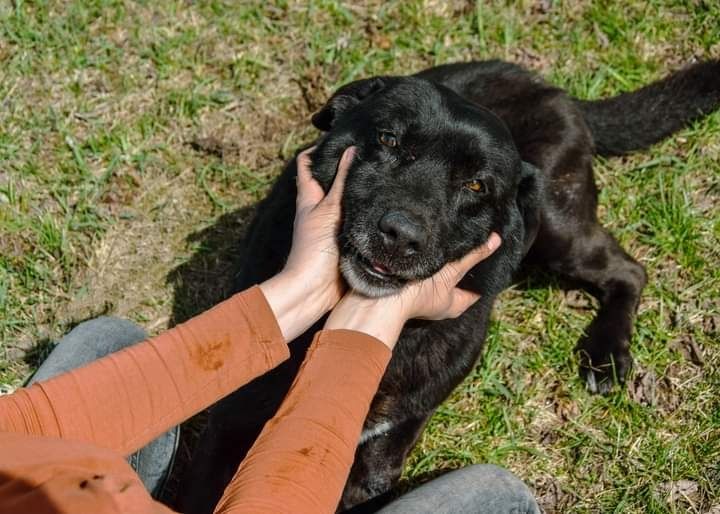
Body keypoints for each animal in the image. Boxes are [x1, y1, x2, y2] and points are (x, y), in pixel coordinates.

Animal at [180, 59, 720, 508]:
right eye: (390, 140)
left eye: (477, 185)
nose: (401, 236)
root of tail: (549, 88)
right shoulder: (231, 427)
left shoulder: (373, 464)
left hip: (554, 222)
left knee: (629, 270)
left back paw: (606, 355)